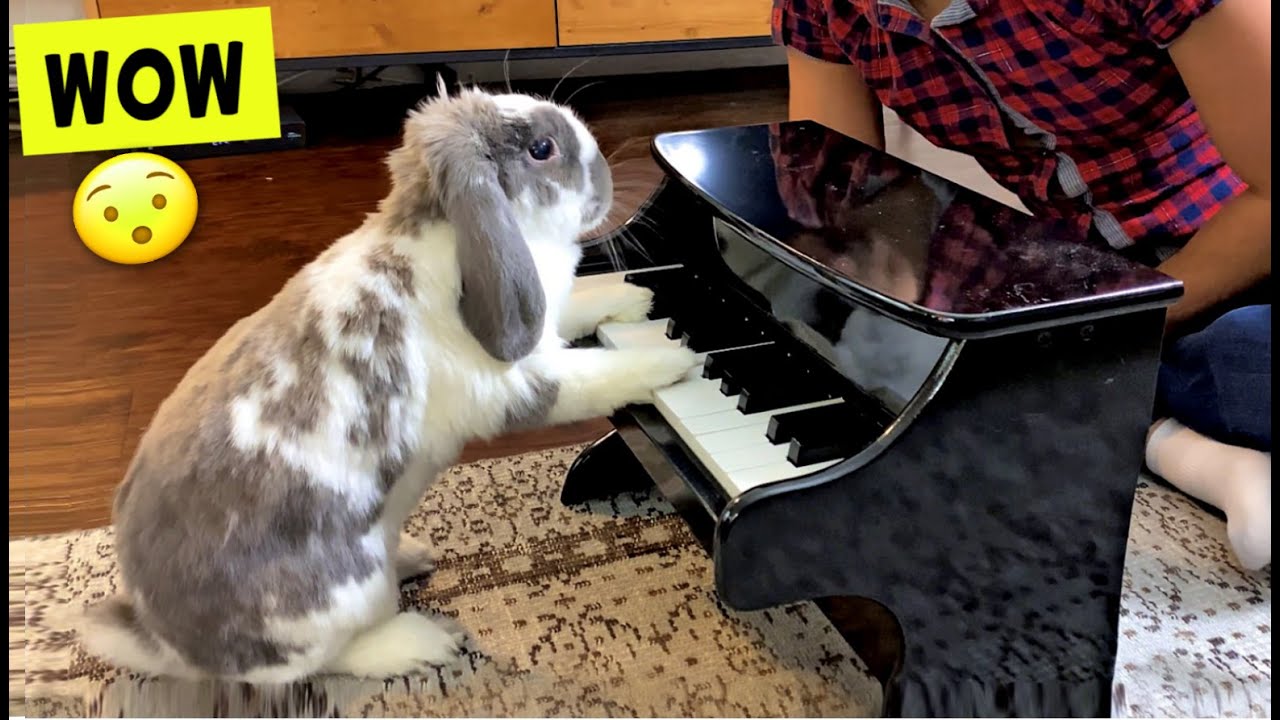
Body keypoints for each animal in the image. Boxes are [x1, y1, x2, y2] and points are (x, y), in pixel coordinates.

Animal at [78, 81, 700, 685]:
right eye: (541, 149)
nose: (607, 185)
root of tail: (168, 643)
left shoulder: (547, 321)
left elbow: (581, 304)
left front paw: (637, 298)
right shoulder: (524, 382)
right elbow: (598, 377)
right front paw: (675, 358)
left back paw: (414, 559)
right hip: (339, 598)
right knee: (322, 661)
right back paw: (423, 643)